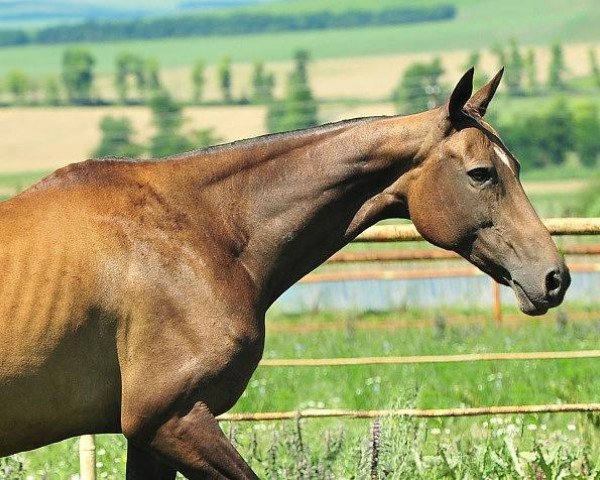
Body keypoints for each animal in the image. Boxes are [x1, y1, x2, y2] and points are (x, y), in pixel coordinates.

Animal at [0, 68, 568, 480]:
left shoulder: (148, 438)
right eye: (481, 173)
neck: (202, 232)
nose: (554, 278)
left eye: (516, 165)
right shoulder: (172, 420)